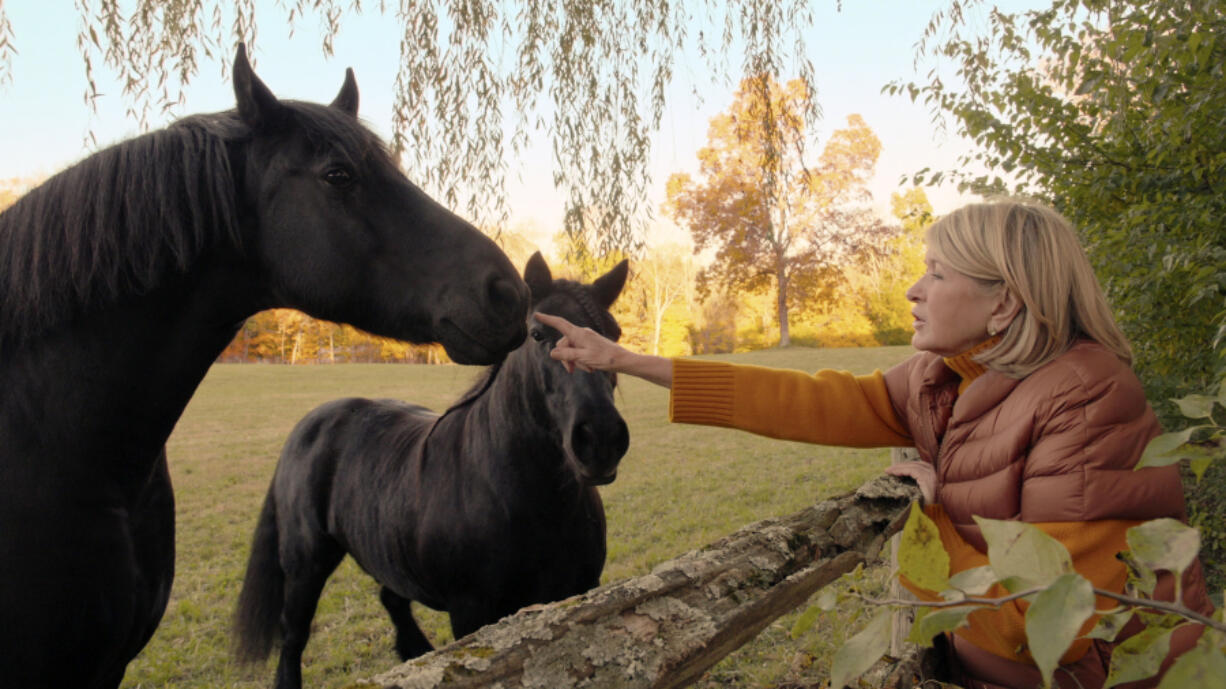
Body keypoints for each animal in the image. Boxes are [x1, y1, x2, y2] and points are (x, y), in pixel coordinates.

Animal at [234, 252, 632, 686]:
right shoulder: (474, 615)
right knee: (294, 637)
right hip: (306, 564)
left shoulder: (579, 593)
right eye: (538, 334)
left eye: (613, 334)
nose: (600, 438)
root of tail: (310, 423)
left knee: (391, 597)